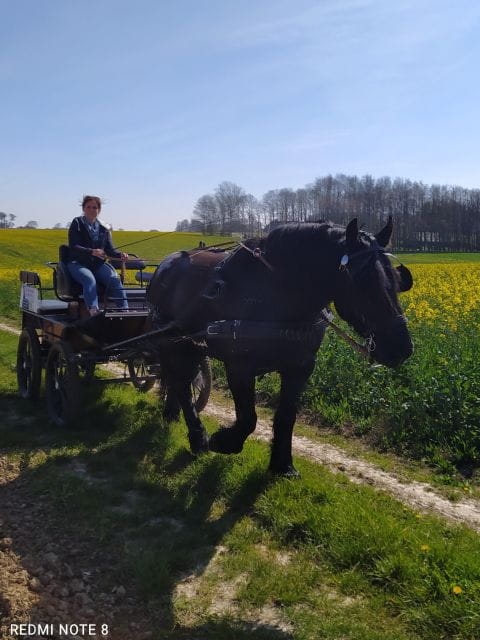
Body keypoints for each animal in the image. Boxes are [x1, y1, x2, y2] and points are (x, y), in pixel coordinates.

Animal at [147, 217, 413, 476]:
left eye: (397, 279)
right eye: (363, 281)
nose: (402, 348)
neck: (275, 291)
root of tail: (166, 264)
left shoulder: (301, 366)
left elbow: (286, 416)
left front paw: (283, 464)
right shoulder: (239, 365)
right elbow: (248, 418)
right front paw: (223, 442)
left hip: (190, 345)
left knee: (181, 381)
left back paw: (173, 414)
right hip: (174, 343)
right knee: (181, 383)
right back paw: (198, 438)